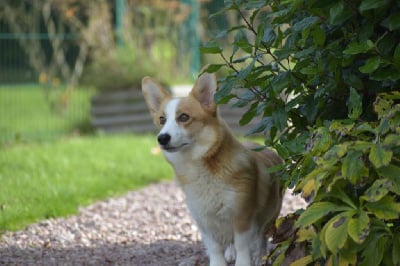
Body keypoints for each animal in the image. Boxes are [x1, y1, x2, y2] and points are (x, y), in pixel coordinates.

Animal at [142, 72, 282, 266]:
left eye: (184, 117)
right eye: (162, 120)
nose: (162, 138)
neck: (201, 167)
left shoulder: (242, 216)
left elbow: (242, 246)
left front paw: (245, 261)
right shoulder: (204, 220)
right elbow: (215, 247)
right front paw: (220, 261)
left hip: (270, 214)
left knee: (261, 237)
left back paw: (260, 257)